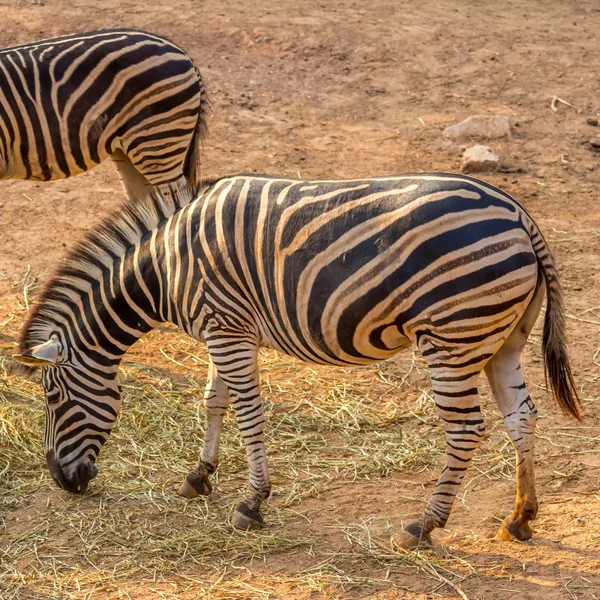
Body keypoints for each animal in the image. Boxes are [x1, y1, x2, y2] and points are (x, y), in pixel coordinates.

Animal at [15, 175, 580, 548]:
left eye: (51, 395)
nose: (62, 481)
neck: (166, 267)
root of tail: (518, 213)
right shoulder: (224, 328)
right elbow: (213, 400)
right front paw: (199, 476)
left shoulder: (227, 330)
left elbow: (247, 414)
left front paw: (252, 503)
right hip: (502, 339)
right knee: (522, 417)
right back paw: (521, 517)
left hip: (451, 338)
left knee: (466, 428)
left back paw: (425, 524)